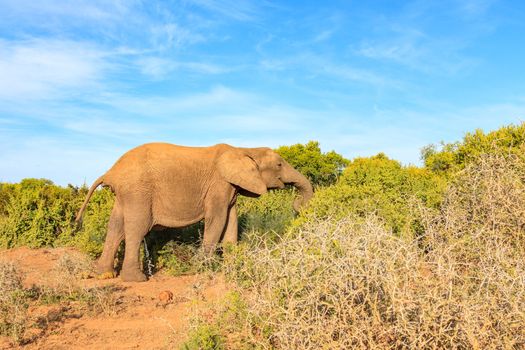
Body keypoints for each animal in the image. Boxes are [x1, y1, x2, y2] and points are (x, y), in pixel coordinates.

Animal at [73, 142, 312, 282]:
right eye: (279, 165)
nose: (297, 204)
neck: (244, 149)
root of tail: (110, 172)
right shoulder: (218, 185)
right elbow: (217, 220)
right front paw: (204, 268)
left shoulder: (230, 187)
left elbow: (231, 222)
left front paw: (232, 266)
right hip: (137, 191)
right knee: (136, 229)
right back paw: (136, 279)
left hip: (125, 195)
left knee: (115, 227)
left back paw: (103, 274)